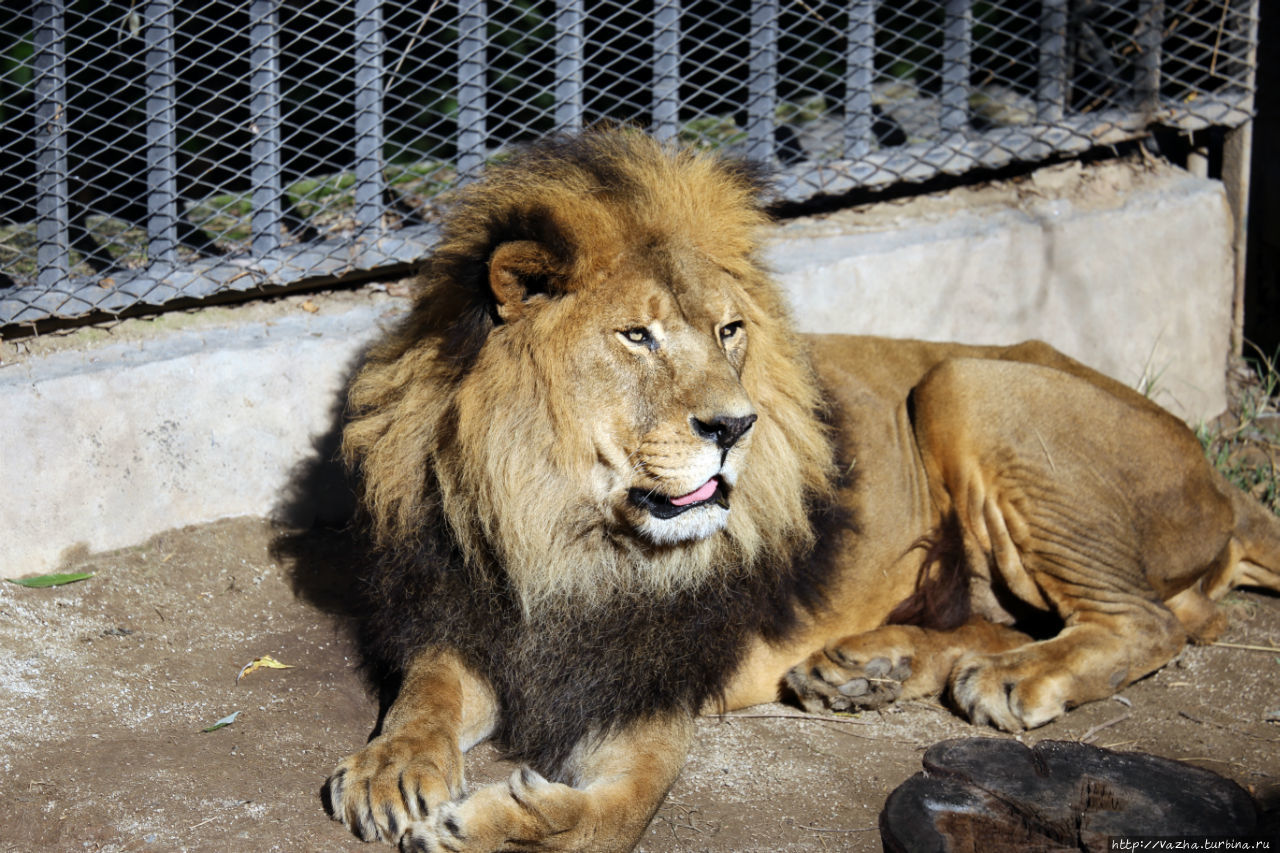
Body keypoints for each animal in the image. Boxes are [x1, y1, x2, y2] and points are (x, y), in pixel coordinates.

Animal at [327, 128, 1280, 850]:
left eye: (729, 331)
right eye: (636, 336)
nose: (735, 426)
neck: (563, 527)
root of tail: (1219, 478)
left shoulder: (652, 677)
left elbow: (613, 814)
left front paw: (493, 821)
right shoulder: (474, 614)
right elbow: (427, 689)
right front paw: (392, 766)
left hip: (969, 383)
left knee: (1149, 621)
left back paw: (1011, 679)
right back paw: (864, 669)